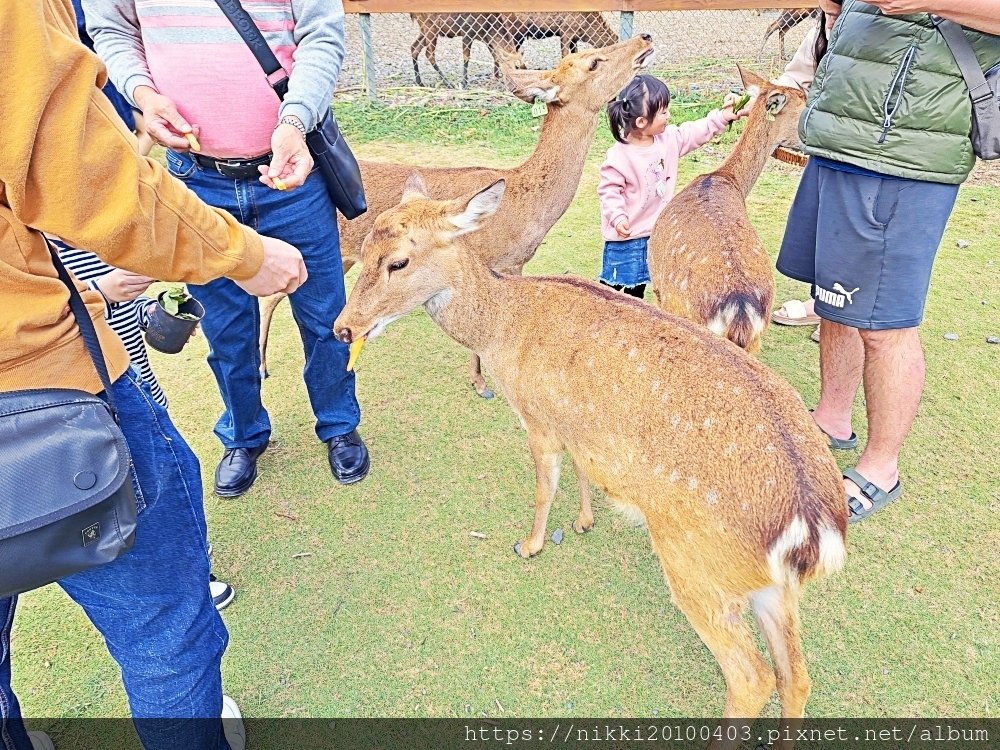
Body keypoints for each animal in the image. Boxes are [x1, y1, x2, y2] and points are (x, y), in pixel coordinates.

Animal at [262, 34, 660, 394]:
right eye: (593, 62)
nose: (644, 37)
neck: (527, 206)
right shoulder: (492, 261)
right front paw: (481, 383)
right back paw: (264, 368)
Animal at [334, 176, 844, 740]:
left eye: (397, 262)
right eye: (362, 249)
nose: (343, 328)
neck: (501, 325)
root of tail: (816, 526)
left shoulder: (536, 414)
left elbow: (544, 486)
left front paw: (530, 544)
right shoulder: (575, 425)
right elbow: (579, 469)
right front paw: (583, 521)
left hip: (698, 564)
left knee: (753, 676)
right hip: (772, 589)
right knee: (796, 675)